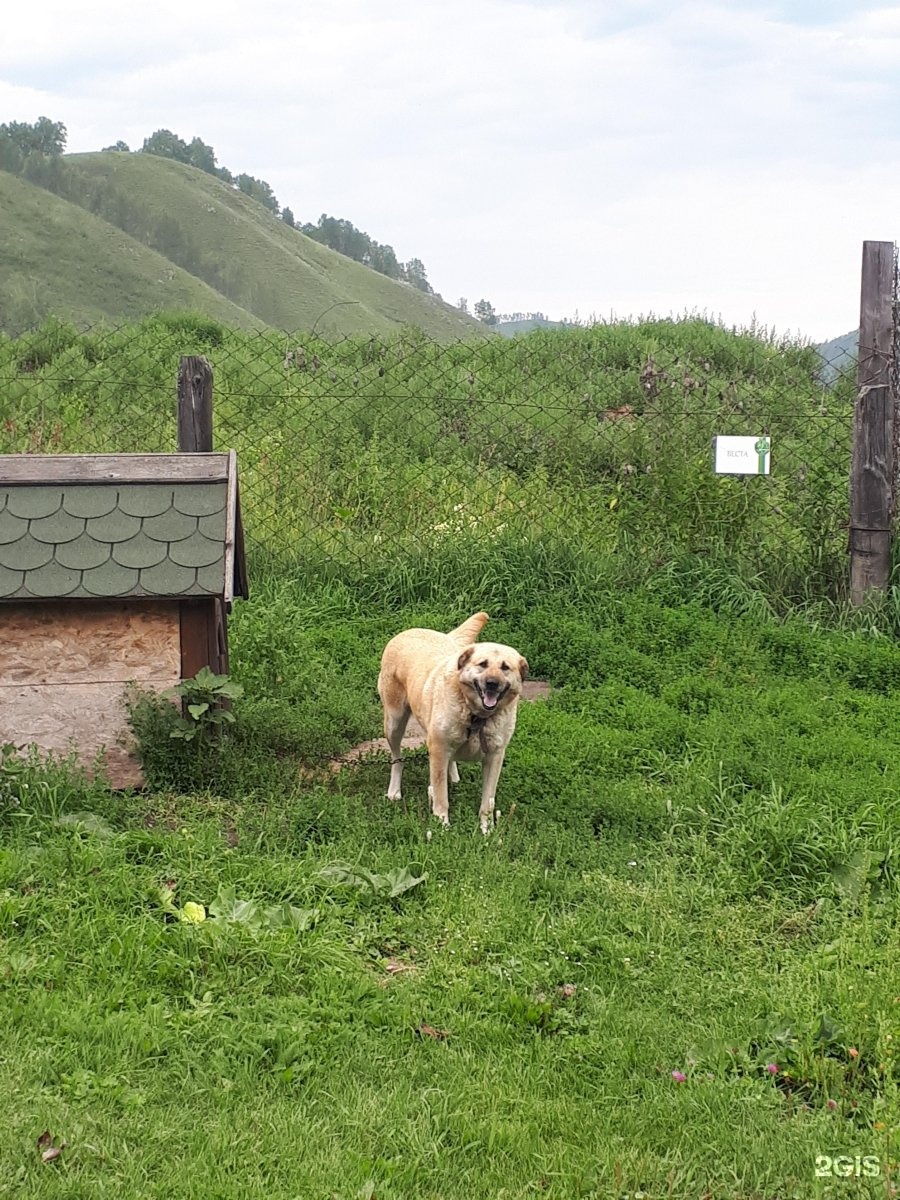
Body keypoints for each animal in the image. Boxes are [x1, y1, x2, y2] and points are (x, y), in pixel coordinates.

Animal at [379, 609, 528, 835]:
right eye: (483, 664)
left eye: (505, 668)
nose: (492, 684)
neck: (476, 716)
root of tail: (409, 630)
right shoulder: (439, 750)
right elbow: (442, 797)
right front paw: (443, 826)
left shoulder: (494, 757)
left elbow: (488, 801)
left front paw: (487, 831)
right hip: (394, 724)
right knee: (398, 759)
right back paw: (395, 790)